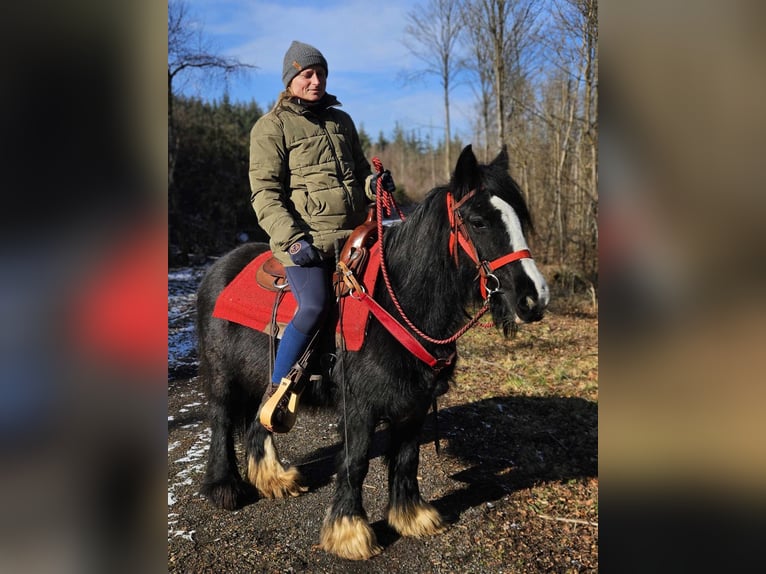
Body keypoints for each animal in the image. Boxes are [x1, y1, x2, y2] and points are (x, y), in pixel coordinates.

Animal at [195, 145, 548, 564]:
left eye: (519, 218)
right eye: (477, 221)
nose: (534, 298)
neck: (396, 303)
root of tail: (217, 269)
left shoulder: (414, 404)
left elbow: (407, 457)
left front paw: (412, 517)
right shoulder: (360, 407)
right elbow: (356, 462)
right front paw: (350, 533)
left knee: (258, 421)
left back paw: (275, 478)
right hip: (222, 377)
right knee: (221, 421)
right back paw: (224, 488)